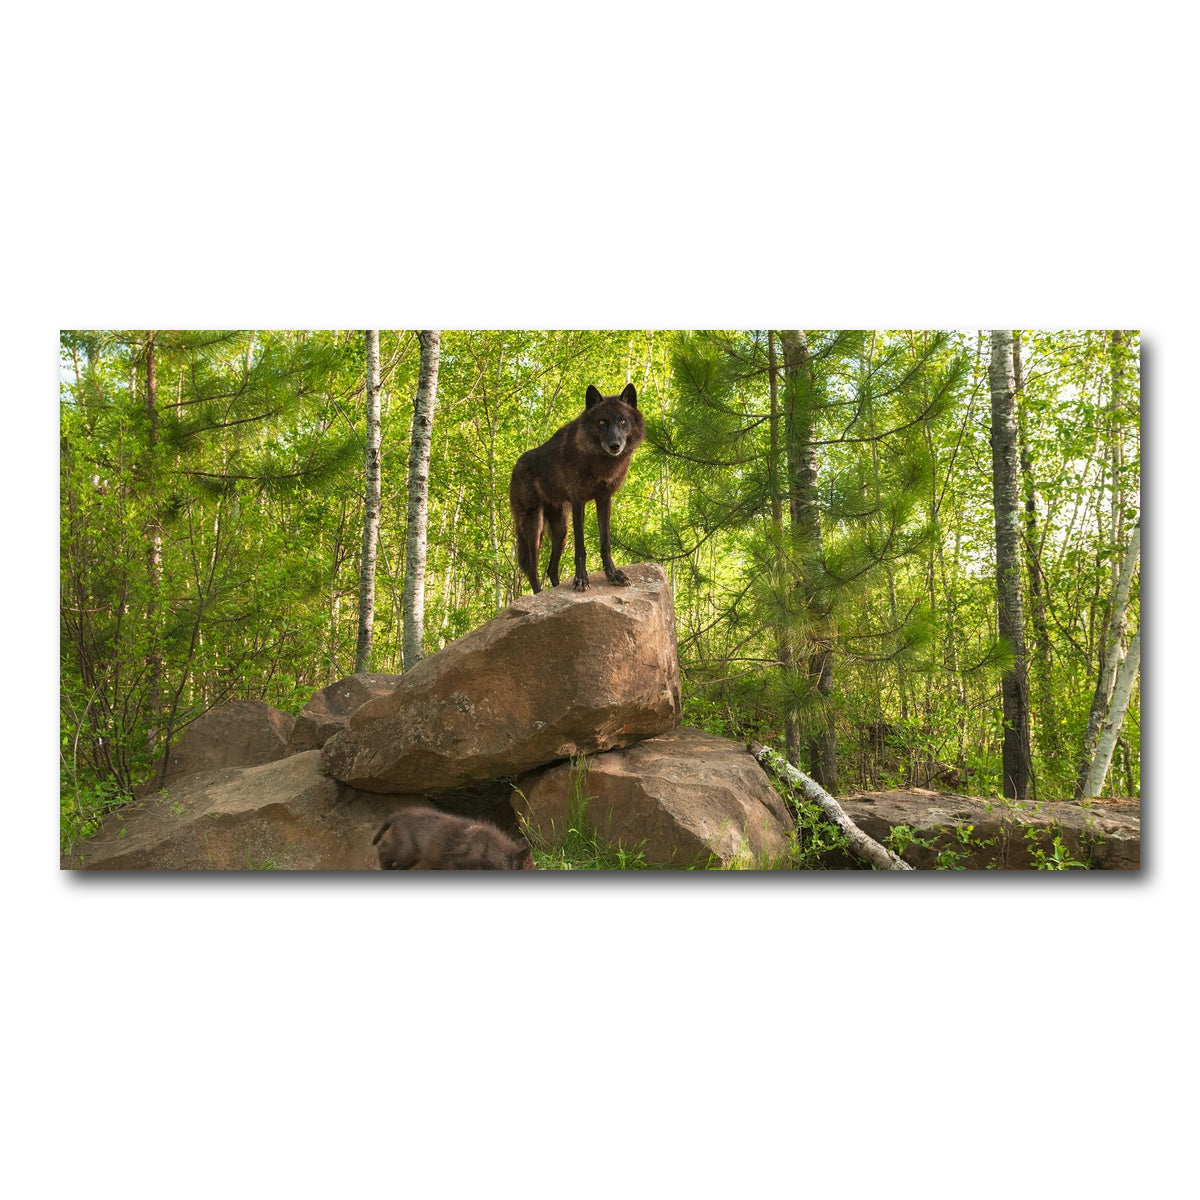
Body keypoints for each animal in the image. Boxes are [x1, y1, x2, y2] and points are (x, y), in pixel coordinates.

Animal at [509, 382, 646, 593]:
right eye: (602, 422)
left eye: (622, 421)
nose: (615, 445)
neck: (600, 462)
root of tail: (516, 466)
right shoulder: (578, 501)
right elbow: (581, 548)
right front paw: (581, 579)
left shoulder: (604, 499)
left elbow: (605, 543)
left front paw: (613, 575)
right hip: (534, 527)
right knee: (532, 569)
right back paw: (539, 595)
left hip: (561, 530)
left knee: (551, 569)